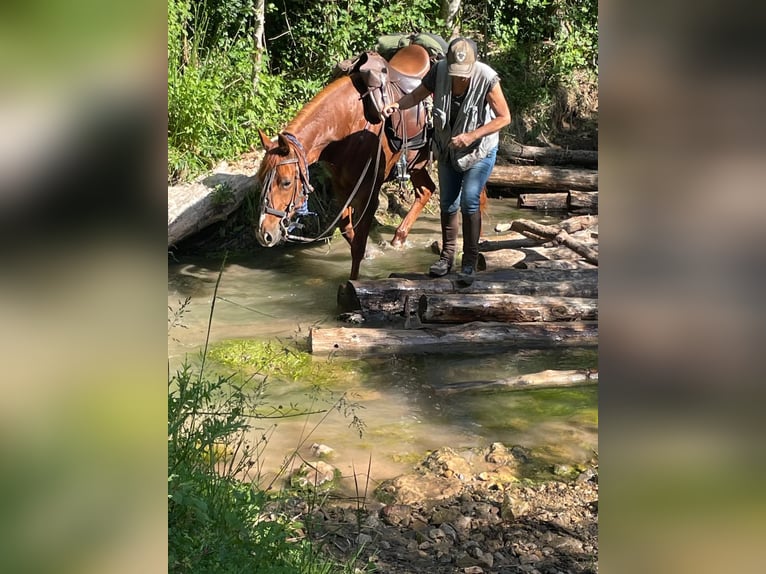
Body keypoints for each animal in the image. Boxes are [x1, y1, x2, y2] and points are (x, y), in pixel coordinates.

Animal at [254, 44, 438, 280]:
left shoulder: (369, 193)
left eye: (286, 182)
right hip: (417, 164)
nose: (264, 234)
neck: (347, 126)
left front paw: (354, 281)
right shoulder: (341, 187)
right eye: (260, 180)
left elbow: (357, 245)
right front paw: (371, 254)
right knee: (426, 190)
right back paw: (398, 239)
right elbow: (347, 230)